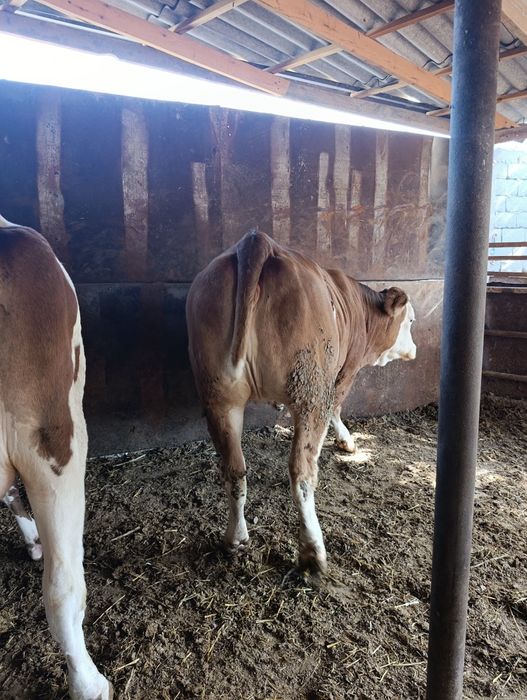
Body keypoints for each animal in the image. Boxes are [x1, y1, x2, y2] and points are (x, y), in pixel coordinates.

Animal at [186, 229, 416, 575]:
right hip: (310, 393)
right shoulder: (344, 372)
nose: (415, 349)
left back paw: (236, 538)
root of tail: (257, 242)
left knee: (235, 470)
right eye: (411, 321)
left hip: (220, 399)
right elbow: (337, 407)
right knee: (302, 472)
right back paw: (313, 551)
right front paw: (347, 442)